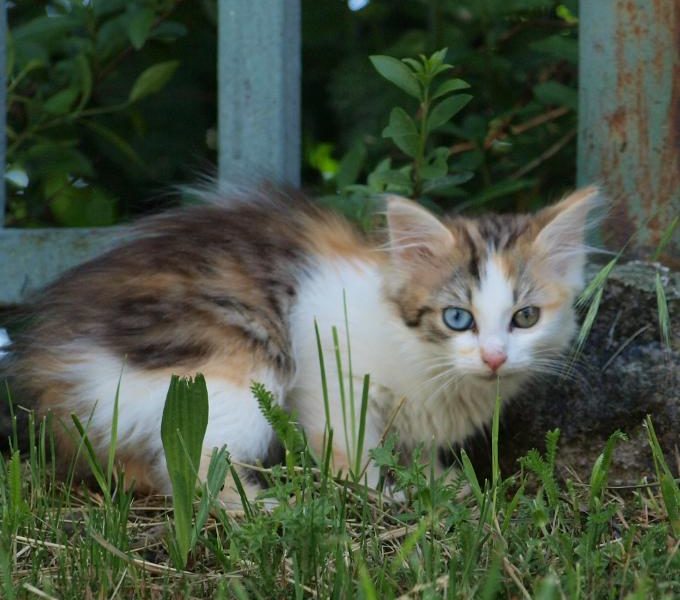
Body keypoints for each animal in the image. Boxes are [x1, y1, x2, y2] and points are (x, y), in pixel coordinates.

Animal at [2, 185, 600, 504]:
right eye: (458, 318)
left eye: (525, 318)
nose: (495, 357)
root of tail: (56, 369)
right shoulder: (330, 366)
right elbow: (350, 446)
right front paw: (373, 493)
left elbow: (420, 449)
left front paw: (439, 483)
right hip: (232, 375)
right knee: (190, 472)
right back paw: (255, 505)